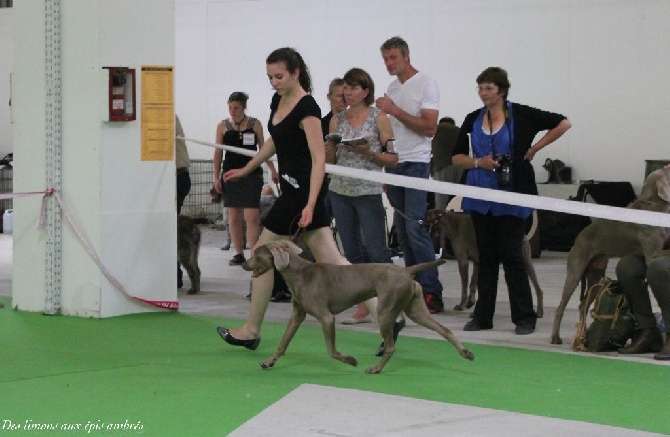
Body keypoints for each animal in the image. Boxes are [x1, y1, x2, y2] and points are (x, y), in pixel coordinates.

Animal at [244, 240, 476, 372]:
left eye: (256, 255)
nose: (244, 263)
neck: (299, 273)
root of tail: (406, 270)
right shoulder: (297, 315)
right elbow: (283, 343)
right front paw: (269, 362)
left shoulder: (327, 318)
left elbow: (331, 350)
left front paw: (350, 360)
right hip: (416, 310)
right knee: (445, 330)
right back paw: (466, 353)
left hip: (385, 311)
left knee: (390, 346)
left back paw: (376, 369)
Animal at [552, 165, 670, 346]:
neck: (654, 206)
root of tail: (580, 236)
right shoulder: (653, 254)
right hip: (576, 270)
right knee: (561, 307)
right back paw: (556, 337)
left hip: (596, 274)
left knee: (583, 305)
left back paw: (582, 336)